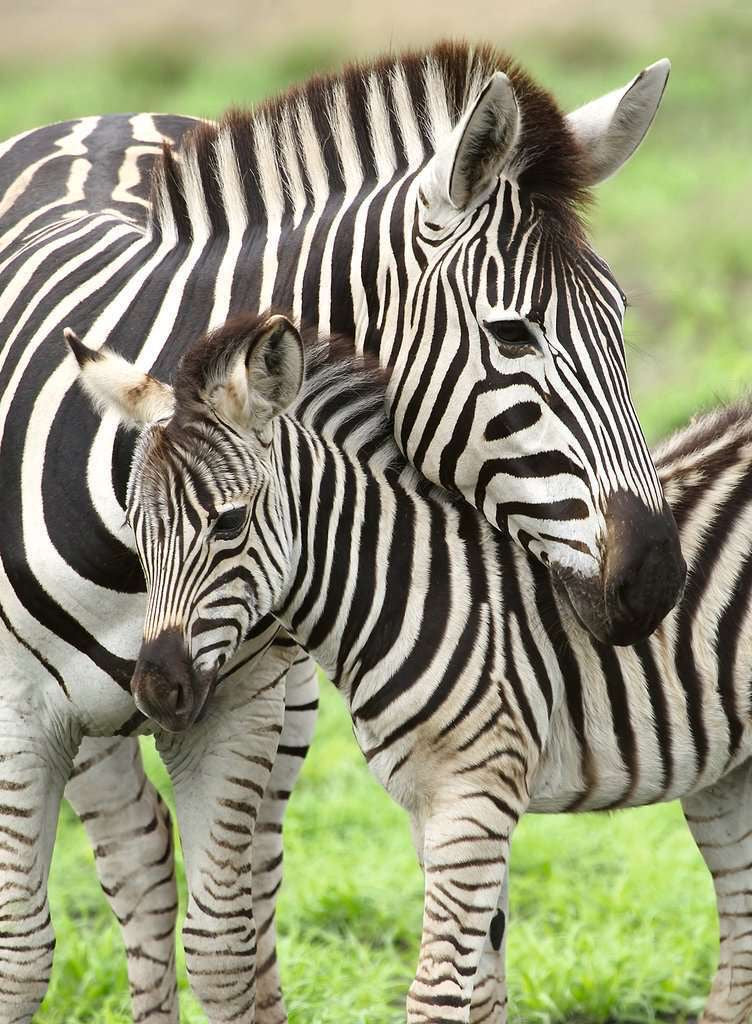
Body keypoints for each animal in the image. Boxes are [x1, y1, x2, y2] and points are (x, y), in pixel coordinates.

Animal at [0, 43, 682, 1021]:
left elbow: (223, 948)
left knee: (209, 886)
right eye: (513, 334)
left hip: (280, 702)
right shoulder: (19, 716)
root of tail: (98, 117)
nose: (657, 578)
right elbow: (20, 956)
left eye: (623, 319)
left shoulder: (237, 707)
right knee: (138, 862)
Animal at [76, 309, 752, 1024]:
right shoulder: (430, 807)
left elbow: (437, 993)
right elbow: (482, 992)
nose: (156, 689)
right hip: (727, 775)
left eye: (229, 524)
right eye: (134, 527)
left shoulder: (474, 799)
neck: (414, 590)